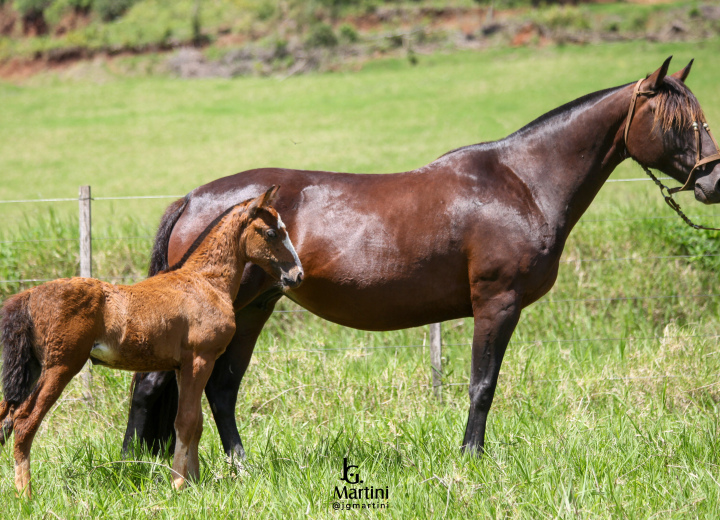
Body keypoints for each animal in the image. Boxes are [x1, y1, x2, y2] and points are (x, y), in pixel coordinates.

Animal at [0, 186, 302, 496]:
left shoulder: (182, 367)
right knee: (24, 422)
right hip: (61, 366)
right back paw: (25, 495)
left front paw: (193, 481)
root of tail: (29, 296)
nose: (297, 275)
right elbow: (186, 421)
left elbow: (196, 423)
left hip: (33, 369)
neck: (204, 282)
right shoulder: (200, 359)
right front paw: (179, 483)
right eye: (271, 232)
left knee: (7, 417)